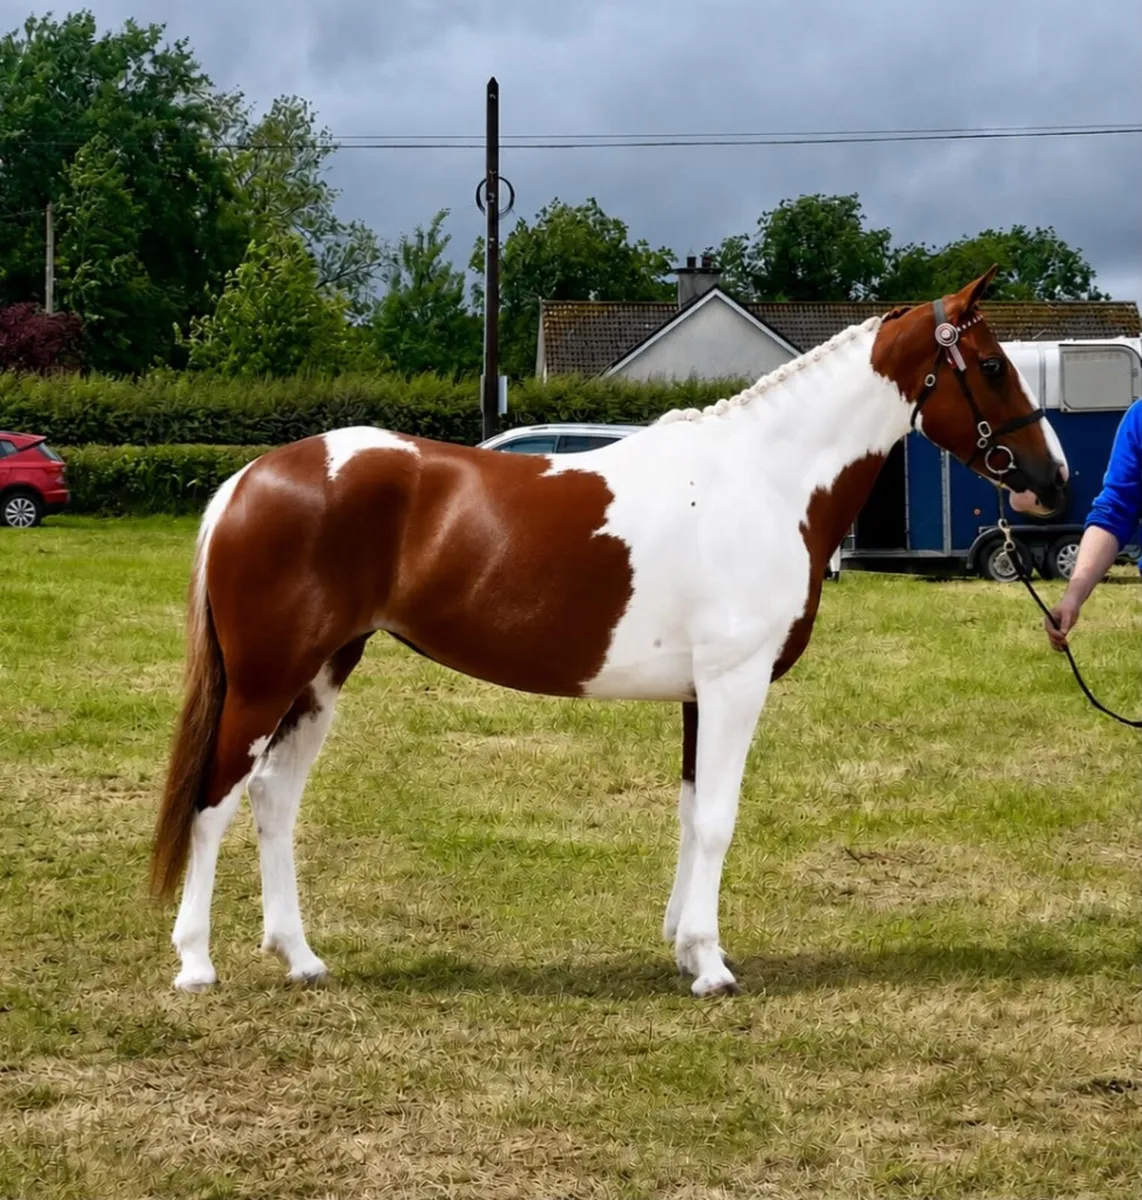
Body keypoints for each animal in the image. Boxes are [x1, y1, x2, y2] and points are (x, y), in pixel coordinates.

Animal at [150, 267, 1069, 996]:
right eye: (993, 366)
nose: (1053, 478)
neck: (764, 480)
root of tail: (248, 479)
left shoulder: (701, 694)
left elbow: (691, 811)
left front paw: (686, 948)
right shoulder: (734, 684)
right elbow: (720, 817)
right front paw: (713, 967)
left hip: (321, 673)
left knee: (273, 797)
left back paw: (301, 957)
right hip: (267, 680)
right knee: (215, 798)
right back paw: (196, 963)